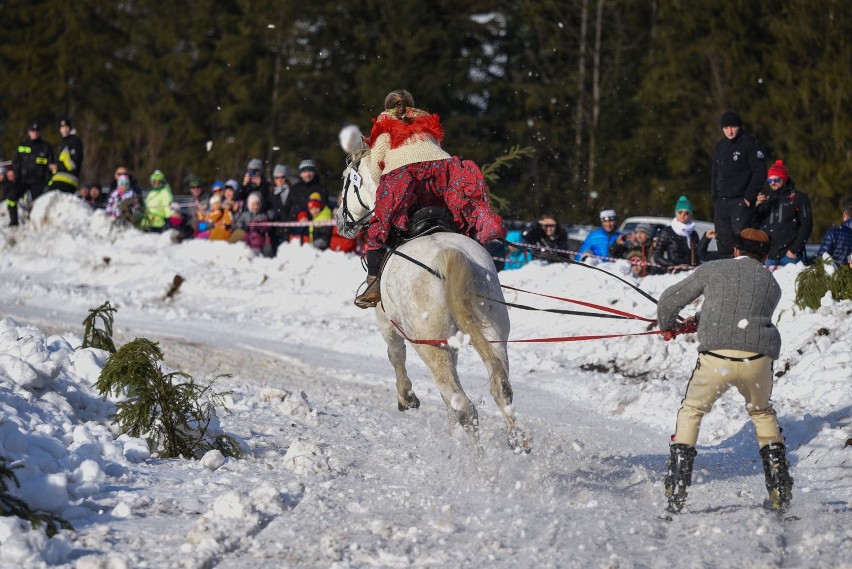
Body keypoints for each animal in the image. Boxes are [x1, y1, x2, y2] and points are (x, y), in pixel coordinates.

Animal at [338, 149, 524, 450]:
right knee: (500, 388)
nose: (340, 222)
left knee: (464, 406)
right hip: (493, 334)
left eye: (345, 181)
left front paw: (407, 398)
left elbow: (395, 354)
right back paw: (517, 440)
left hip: (429, 347)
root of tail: (448, 256)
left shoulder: (387, 323)